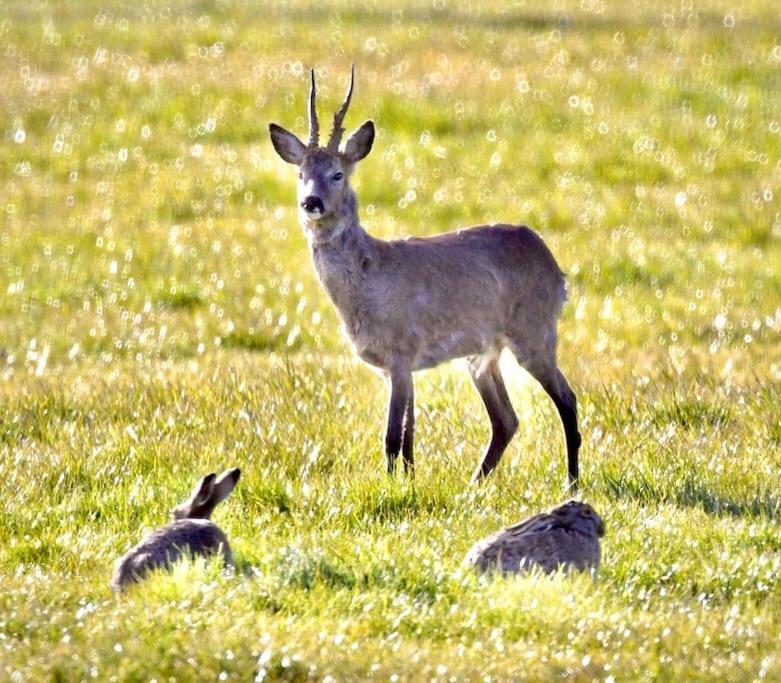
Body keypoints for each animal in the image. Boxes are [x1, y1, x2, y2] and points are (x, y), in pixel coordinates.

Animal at [268, 68, 580, 486]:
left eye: (337, 174)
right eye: (301, 173)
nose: (311, 202)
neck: (370, 281)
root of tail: (556, 270)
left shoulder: (402, 353)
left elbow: (391, 436)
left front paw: (389, 486)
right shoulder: (397, 367)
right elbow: (409, 436)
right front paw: (409, 483)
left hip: (534, 333)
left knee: (567, 399)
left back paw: (571, 481)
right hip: (483, 353)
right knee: (506, 420)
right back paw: (473, 485)